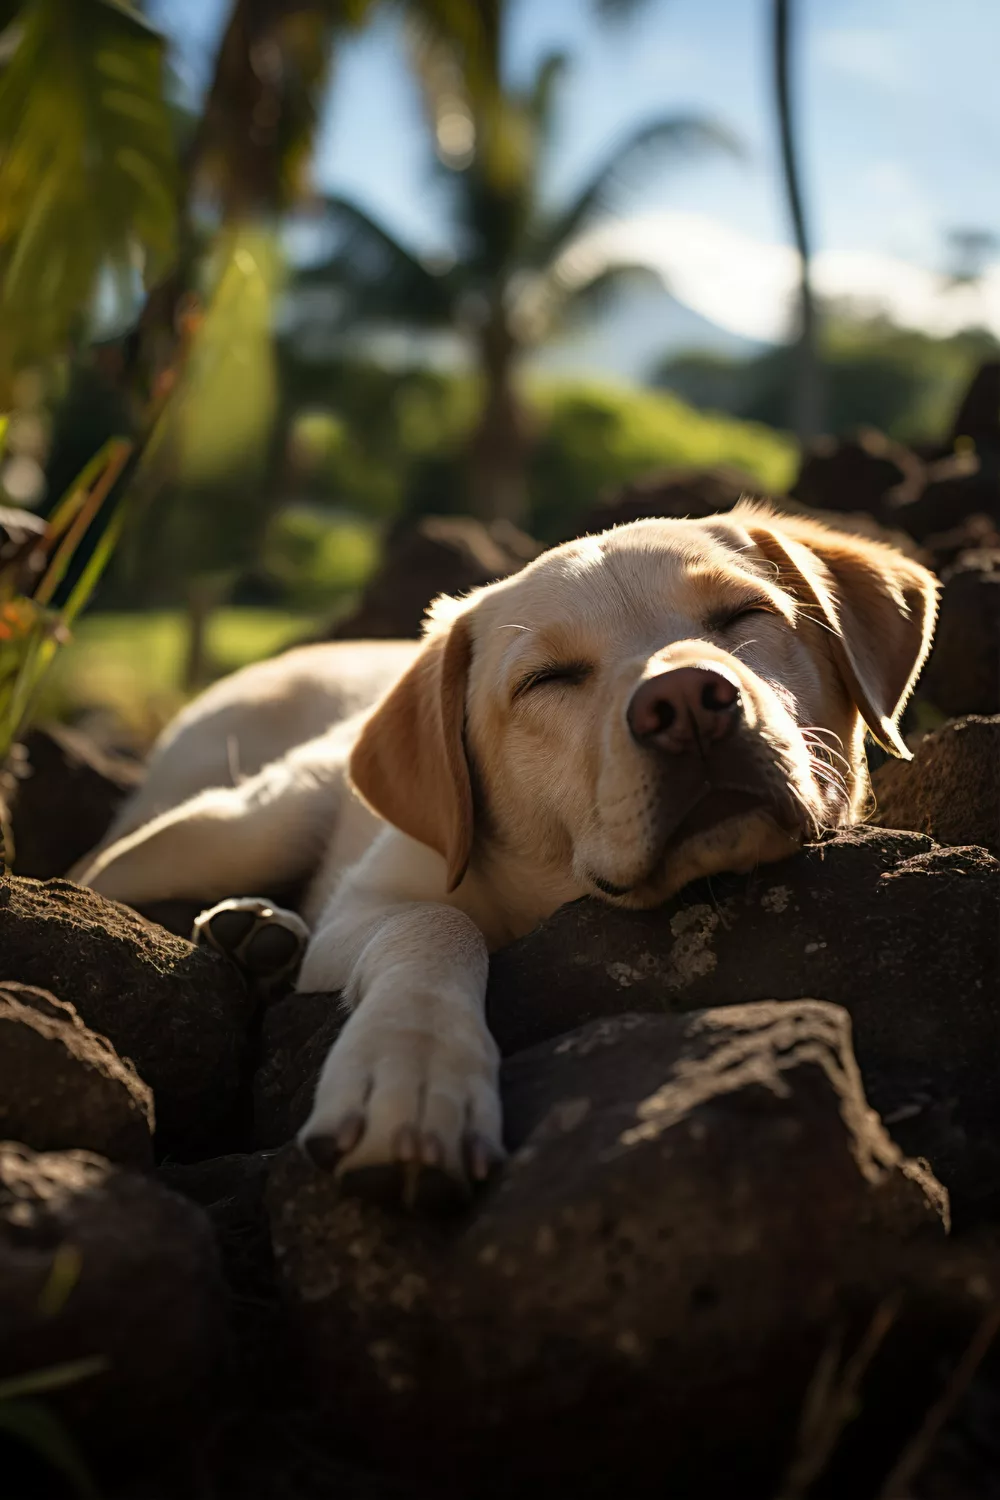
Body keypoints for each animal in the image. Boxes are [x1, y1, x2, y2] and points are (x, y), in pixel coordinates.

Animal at [76, 510, 941, 1200]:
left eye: (745, 614)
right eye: (547, 679)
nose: (687, 703)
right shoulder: (372, 900)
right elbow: (433, 925)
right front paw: (414, 1073)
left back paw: (256, 938)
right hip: (239, 822)